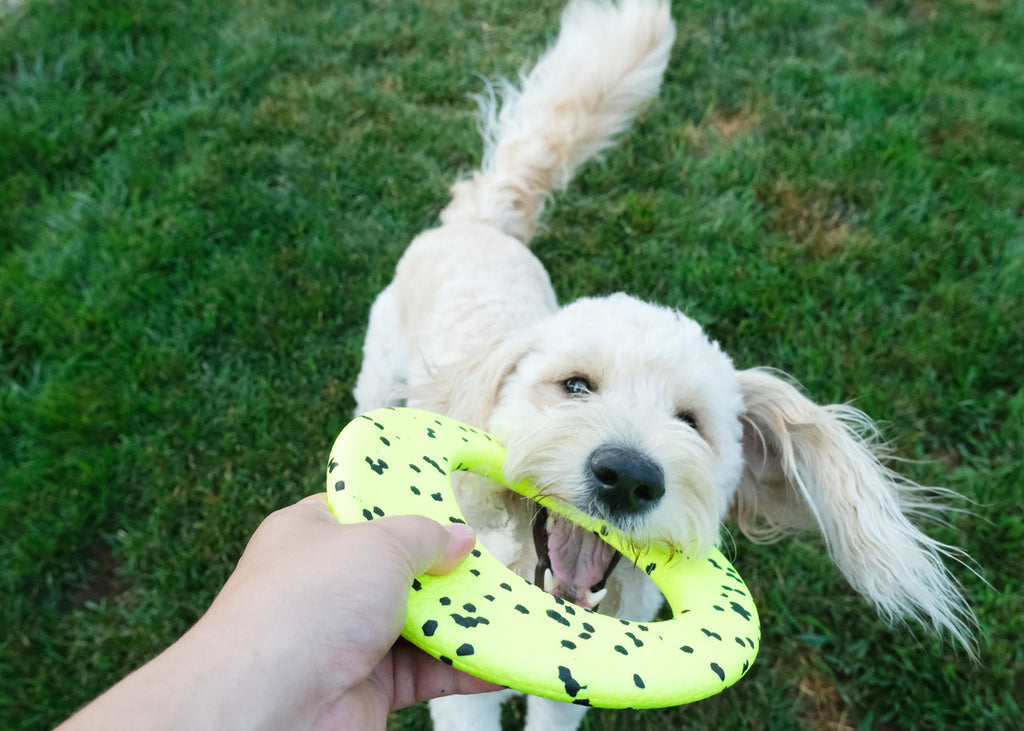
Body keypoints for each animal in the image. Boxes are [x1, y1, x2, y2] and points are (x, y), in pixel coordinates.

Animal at [353, 1, 975, 728]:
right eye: (575, 385)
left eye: (692, 421)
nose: (628, 478)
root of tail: (484, 221)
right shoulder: (460, 697)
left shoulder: (567, 690)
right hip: (378, 372)